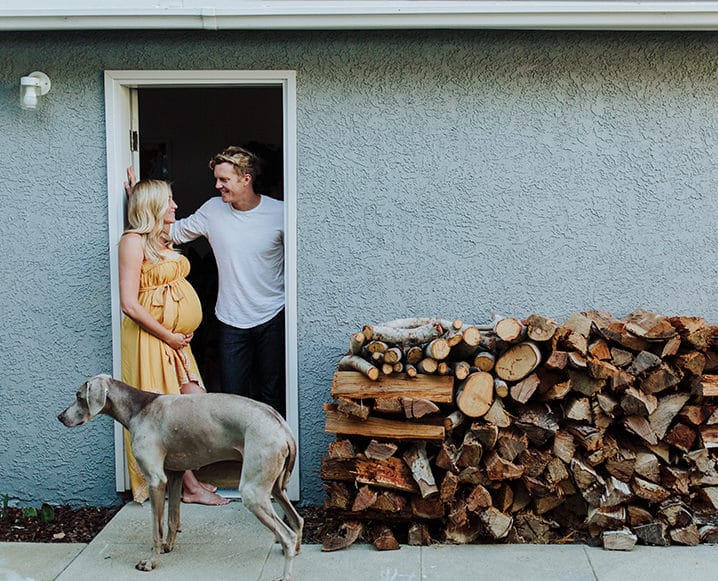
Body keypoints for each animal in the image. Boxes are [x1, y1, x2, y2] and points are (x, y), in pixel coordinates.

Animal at [57, 374, 302, 576]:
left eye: (78, 396)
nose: (60, 417)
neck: (139, 408)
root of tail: (283, 427)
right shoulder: (174, 476)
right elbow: (172, 517)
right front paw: (168, 547)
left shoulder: (156, 481)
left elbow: (156, 528)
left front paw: (151, 562)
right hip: (274, 486)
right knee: (297, 520)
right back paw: (296, 550)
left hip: (252, 491)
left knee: (287, 535)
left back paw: (285, 573)